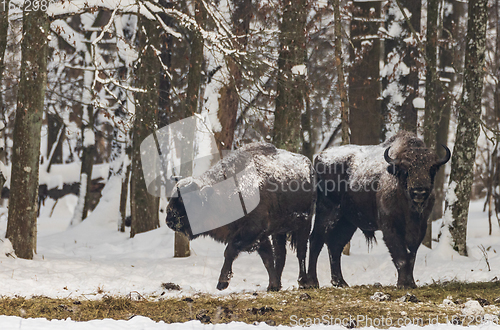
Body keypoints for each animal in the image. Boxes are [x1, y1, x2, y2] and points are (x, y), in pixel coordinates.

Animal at [166, 142, 314, 292]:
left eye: (186, 200)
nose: (169, 219)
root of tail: (308, 164)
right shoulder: (261, 236)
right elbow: (267, 259)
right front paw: (273, 285)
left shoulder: (250, 232)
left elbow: (230, 251)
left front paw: (222, 283)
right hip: (279, 231)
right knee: (281, 254)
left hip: (305, 223)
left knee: (301, 252)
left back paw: (303, 282)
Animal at [306, 130, 452, 288]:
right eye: (405, 170)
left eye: (431, 168)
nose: (419, 191)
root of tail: (319, 157)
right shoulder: (390, 227)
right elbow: (401, 256)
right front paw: (403, 284)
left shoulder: (420, 228)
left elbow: (411, 256)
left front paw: (411, 283)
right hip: (327, 212)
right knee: (316, 240)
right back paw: (312, 282)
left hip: (347, 221)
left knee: (335, 245)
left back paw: (340, 282)